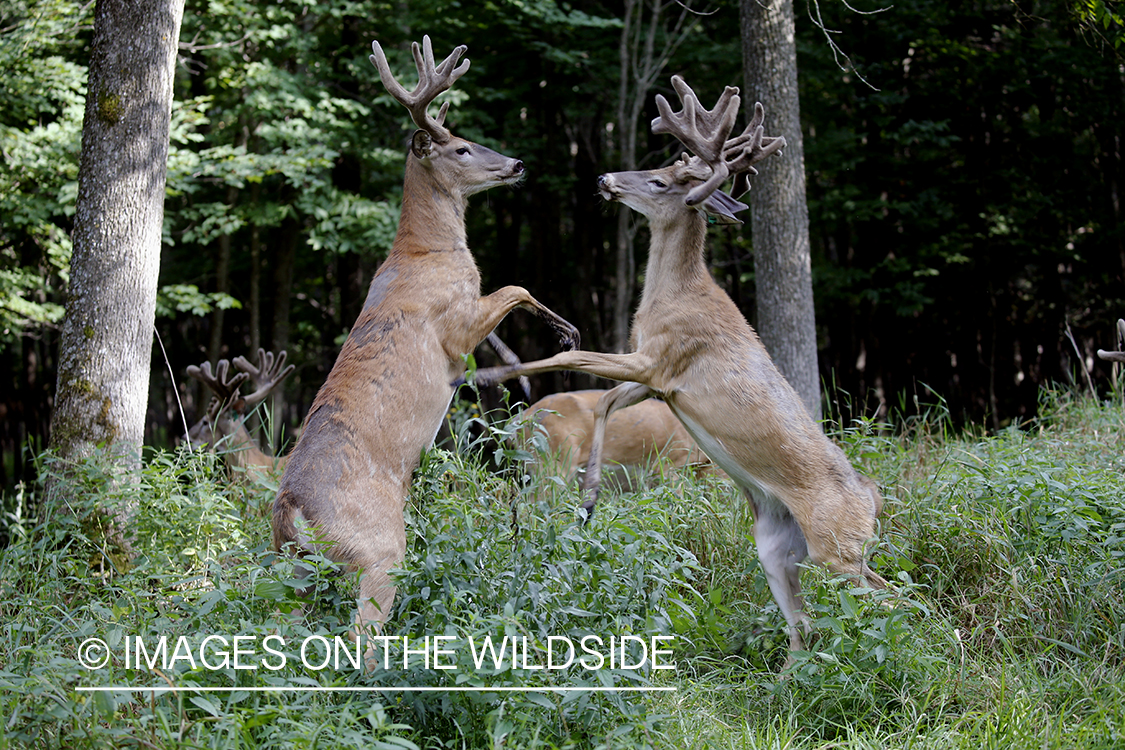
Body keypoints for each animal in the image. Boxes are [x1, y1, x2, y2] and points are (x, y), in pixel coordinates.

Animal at [267, 36, 576, 638]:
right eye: (460, 148)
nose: (517, 163)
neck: (426, 249)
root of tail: (292, 506)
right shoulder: (455, 320)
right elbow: (517, 286)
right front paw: (565, 333)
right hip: (379, 551)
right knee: (361, 637)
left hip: (291, 570)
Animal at [468, 74, 886, 661]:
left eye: (660, 179)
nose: (604, 178)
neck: (670, 297)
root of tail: (873, 499)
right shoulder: (656, 382)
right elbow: (604, 404)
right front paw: (589, 500)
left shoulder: (659, 358)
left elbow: (569, 356)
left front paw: (489, 375)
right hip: (777, 547)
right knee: (804, 624)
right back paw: (791, 675)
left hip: (839, 548)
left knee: (891, 595)